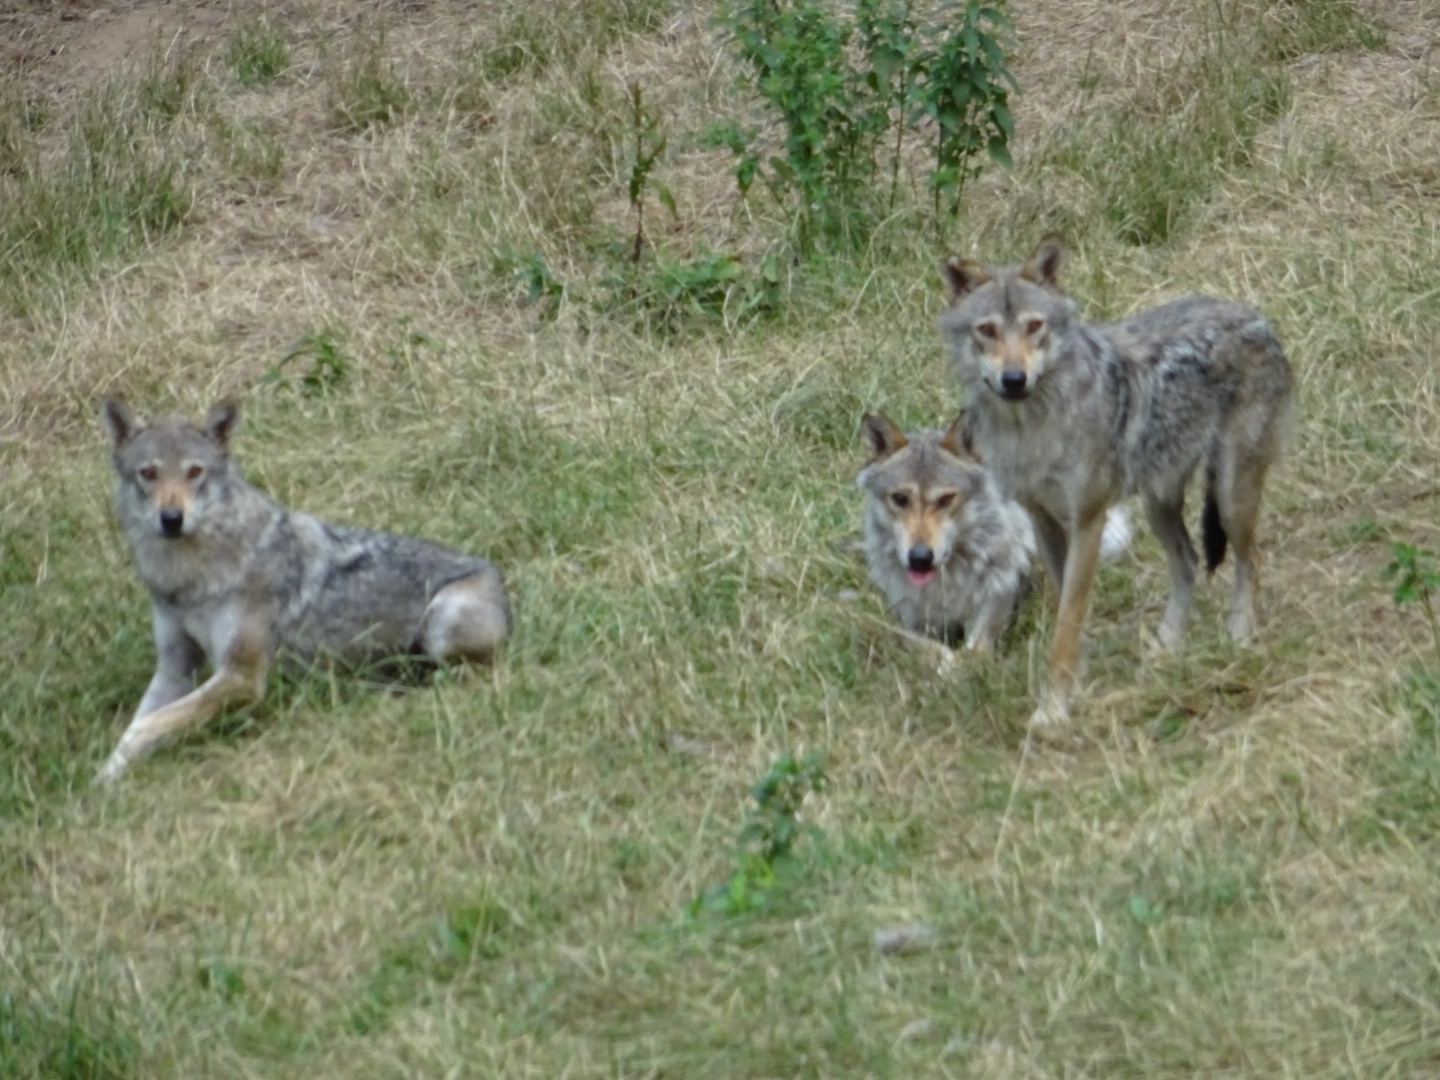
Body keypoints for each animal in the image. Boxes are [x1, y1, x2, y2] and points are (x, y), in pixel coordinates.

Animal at [96, 397, 511, 783]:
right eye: (148, 474)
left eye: (194, 472)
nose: (171, 519)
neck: (189, 581)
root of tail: (499, 577)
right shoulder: (174, 670)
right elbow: (137, 727)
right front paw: (106, 776)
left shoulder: (242, 676)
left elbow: (148, 725)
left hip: (441, 620)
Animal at [939, 236, 1293, 728]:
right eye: (987, 330)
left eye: (1034, 327)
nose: (1014, 379)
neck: (1031, 429)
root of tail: (1255, 316)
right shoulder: (1043, 521)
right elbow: (1067, 612)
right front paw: (1071, 692)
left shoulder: (1089, 520)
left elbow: (1068, 623)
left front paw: (1053, 711)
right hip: (1158, 504)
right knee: (1188, 563)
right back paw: (1166, 650)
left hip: (1229, 497)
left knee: (1250, 563)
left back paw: (1238, 642)